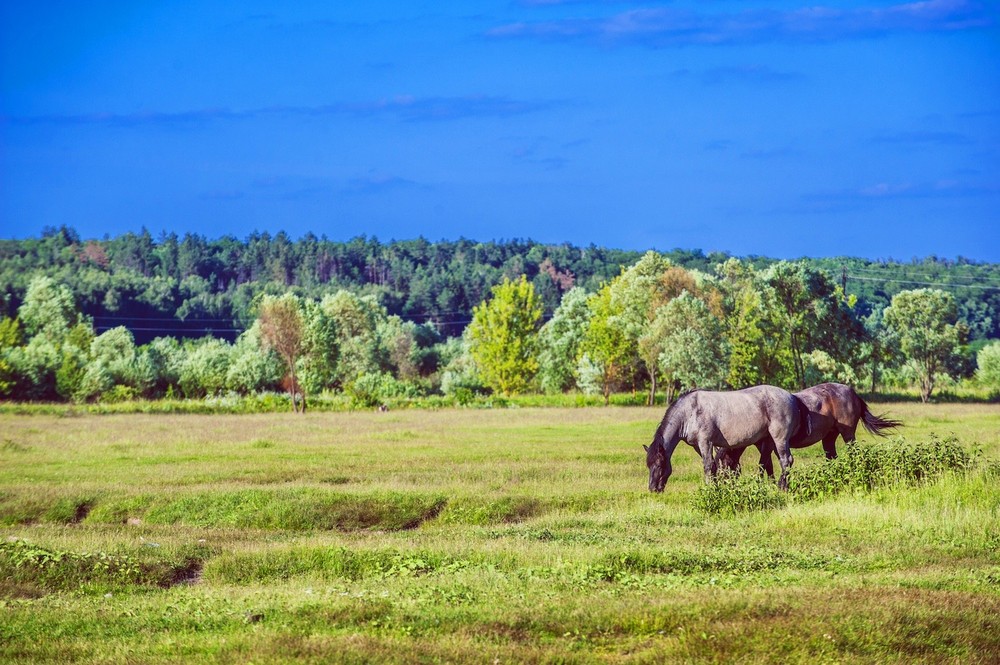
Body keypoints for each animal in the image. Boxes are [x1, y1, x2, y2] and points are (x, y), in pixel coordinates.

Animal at [644, 384, 808, 492]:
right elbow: (714, 466)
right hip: (769, 440)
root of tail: (792, 396)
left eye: (659, 465)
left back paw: (782, 487)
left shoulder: (706, 442)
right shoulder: (698, 445)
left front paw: (709, 489)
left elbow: (708, 466)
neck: (690, 411)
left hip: (780, 438)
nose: (653, 489)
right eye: (649, 465)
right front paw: (717, 487)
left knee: (786, 460)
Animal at [720, 382, 900, 474]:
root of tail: (853, 393)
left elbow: (764, 464)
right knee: (831, 456)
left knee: (852, 452)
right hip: (829, 436)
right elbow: (767, 464)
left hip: (848, 433)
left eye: (724, 468)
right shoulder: (768, 445)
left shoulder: (769, 443)